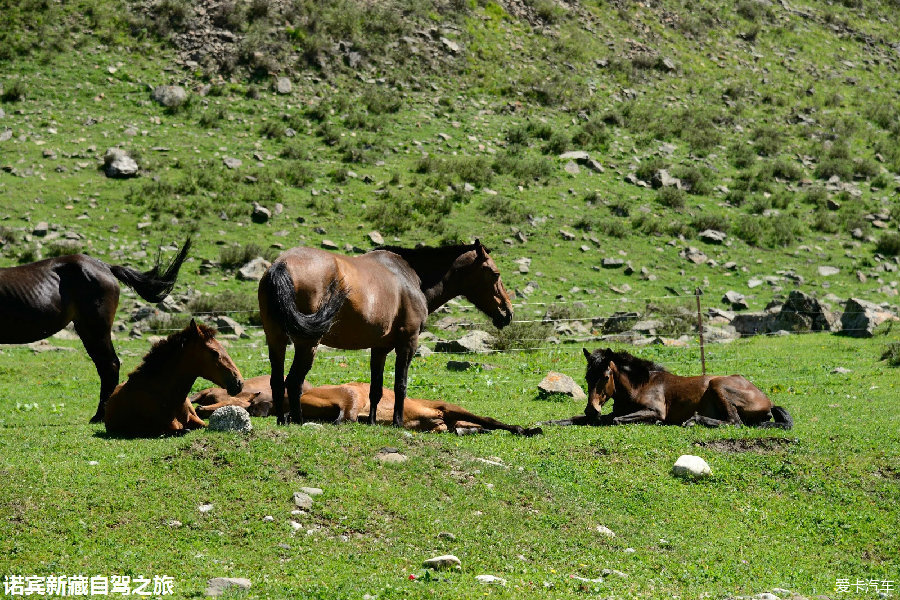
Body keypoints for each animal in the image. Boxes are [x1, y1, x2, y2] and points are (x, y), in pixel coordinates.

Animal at [258, 240, 512, 426]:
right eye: (495, 274)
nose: (507, 312)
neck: (410, 278)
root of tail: (281, 265)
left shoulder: (379, 348)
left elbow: (376, 389)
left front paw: (371, 421)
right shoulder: (408, 343)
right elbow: (401, 384)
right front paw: (397, 422)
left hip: (276, 340)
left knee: (277, 381)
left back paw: (282, 420)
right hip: (307, 344)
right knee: (294, 382)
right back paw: (297, 421)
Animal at [548, 346, 788, 426]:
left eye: (605, 377)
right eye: (587, 377)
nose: (592, 408)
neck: (639, 386)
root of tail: (768, 401)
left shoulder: (655, 411)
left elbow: (614, 420)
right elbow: (577, 419)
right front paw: (548, 422)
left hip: (718, 384)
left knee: (734, 422)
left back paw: (694, 420)